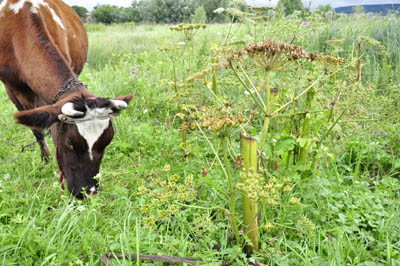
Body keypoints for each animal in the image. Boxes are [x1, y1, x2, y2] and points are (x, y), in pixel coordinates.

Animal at [0, 0, 134, 198]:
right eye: (70, 142)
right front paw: (45, 159)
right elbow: (37, 129)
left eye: (107, 141)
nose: (88, 192)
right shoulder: (11, 89)